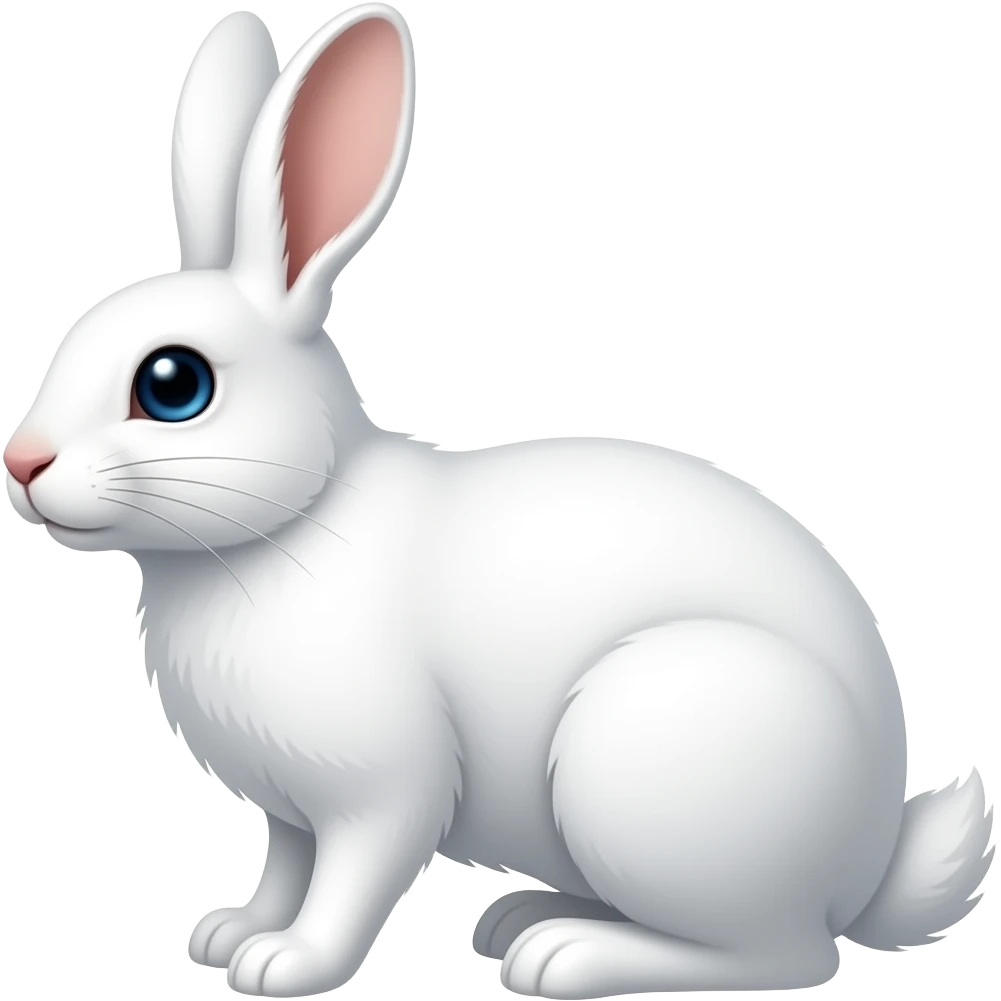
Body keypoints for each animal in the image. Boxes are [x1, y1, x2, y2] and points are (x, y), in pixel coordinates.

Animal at [2, 6, 995, 999]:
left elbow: (348, 883)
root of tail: (867, 866)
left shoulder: (382, 791)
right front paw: (229, 932)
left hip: (640, 764)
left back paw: (565, 955)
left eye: (173, 384)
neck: (288, 523)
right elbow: (284, 867)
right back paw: (522, 917)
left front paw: (287, 964)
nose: (21, 461)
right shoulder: (291, 809)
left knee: (784, 955)